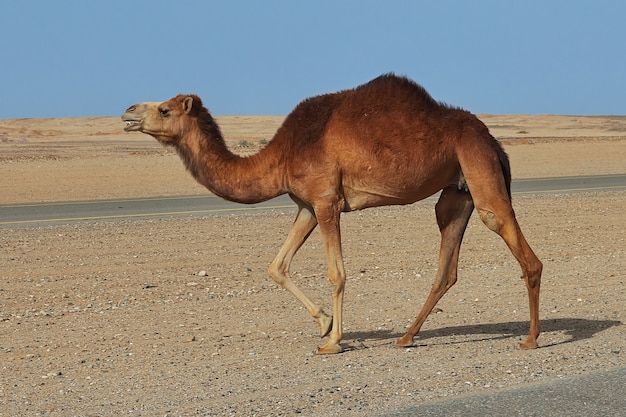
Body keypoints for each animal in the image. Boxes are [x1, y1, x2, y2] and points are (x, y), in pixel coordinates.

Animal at [122, 73, 540, 352]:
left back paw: (531, 338)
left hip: (477, 164)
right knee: (446, 267)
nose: (127, 111)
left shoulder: (327, 201)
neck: (282, 154)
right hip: (457, 191)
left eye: (164, 109)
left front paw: (334, 340)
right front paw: (324, 323)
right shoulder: (307, 205)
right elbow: (277, 266)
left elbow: (336, 273)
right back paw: (406, 337)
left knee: (517, 246)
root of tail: (492, 139)